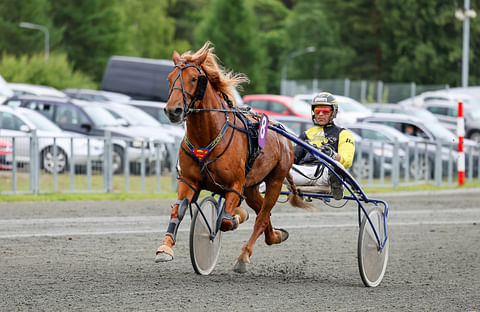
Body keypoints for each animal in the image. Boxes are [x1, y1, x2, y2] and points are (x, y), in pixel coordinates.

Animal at [155, 42, 312, 272]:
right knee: (263, 212)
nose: (173, 110)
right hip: (252, 185)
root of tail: (282, 133)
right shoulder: (189, 181)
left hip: (275, 179)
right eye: (169, 77)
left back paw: (244, 256)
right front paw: (165, 248)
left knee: (262, 216)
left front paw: (237, 216)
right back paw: (275, 236)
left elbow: (226, 221)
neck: (207, 137)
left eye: (194, 78)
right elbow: (178, 210)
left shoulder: (234, 186)